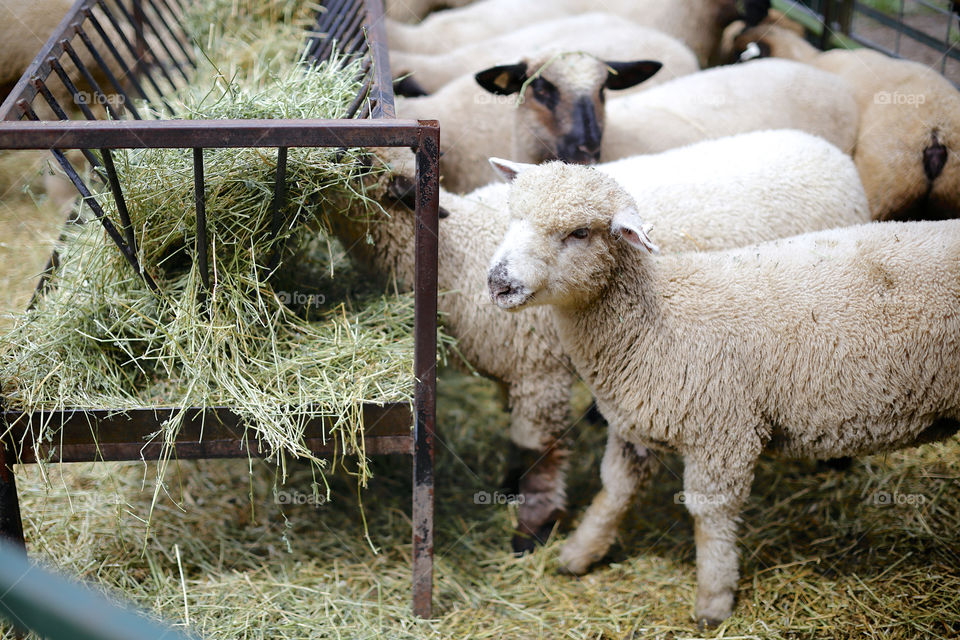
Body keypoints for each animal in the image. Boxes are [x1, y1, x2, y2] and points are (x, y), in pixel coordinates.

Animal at [328, 129, 869, 553]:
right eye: (513, 215)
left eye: (359, 162)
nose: (500, 283)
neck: (457, 249)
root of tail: (828, 150)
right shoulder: (514, 366)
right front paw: (508, 487)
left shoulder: (539, 368)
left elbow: (538, 449)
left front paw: (533, 528)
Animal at [486, 160, 960, 626]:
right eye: (513, 217)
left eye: (580, 232)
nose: (498, 282)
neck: (658, 319)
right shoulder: (632, 426)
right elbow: (614, 491)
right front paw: (579, 553)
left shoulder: (723, 433)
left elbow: (709, 517)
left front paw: (713, 600)